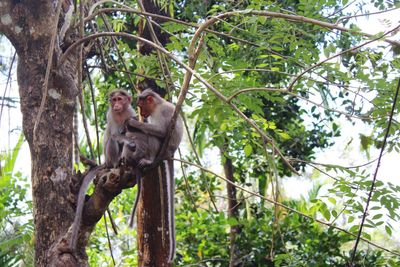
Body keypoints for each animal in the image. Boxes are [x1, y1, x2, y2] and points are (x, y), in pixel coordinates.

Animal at [125, 89, 183, 264]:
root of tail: (171, 153)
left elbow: (162, 132)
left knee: (153, 136)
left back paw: (148, 159)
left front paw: (135, 123)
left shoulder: (162, 112)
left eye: (141, 105)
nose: (141, 113)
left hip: (165, 147)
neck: (158, 104)